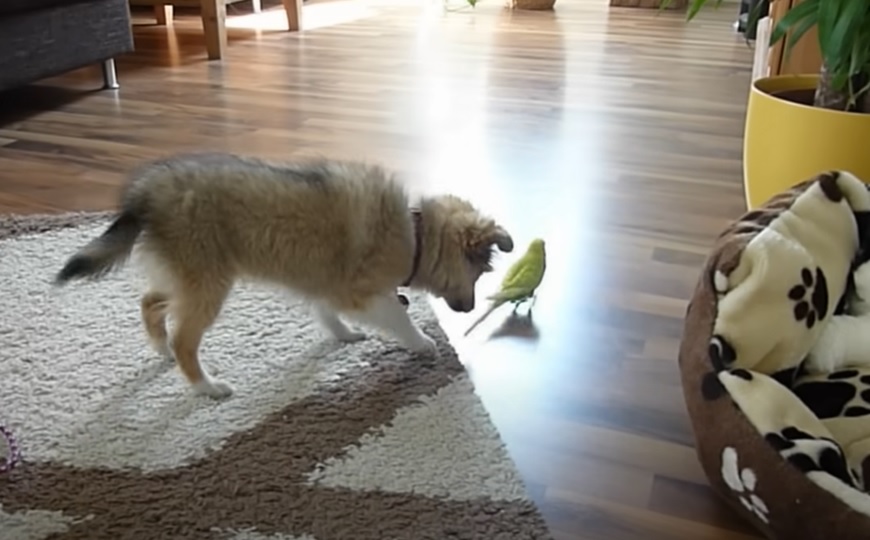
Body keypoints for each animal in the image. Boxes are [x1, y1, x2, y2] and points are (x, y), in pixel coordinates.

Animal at [54, 152, 516, 396]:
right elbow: (398, 315)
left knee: (149, 302)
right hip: (208, 282)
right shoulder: (361, 290)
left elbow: (327, 312)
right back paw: (206, 386)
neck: (416, 232)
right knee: (185, 339)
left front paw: (344, 335)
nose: (467, 309)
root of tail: (146, 194)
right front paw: (422, 343)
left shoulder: (329, 284)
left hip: (187, 275)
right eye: (478, 273)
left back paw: (161, 348)